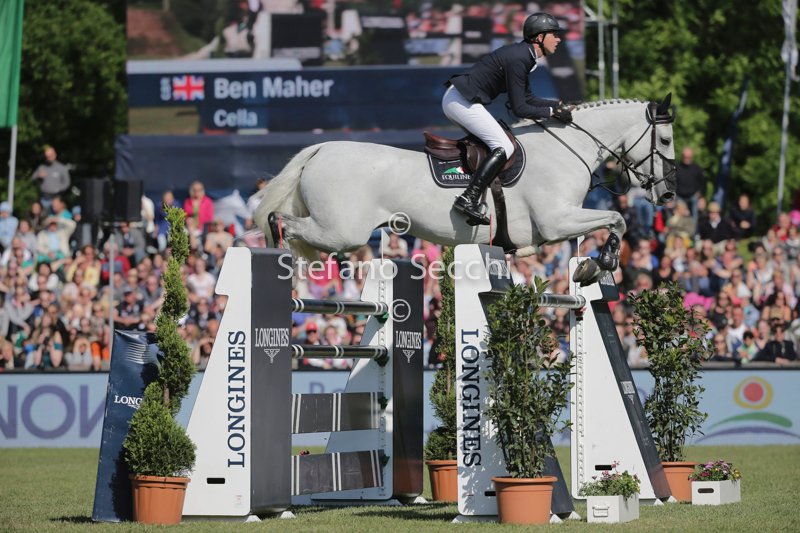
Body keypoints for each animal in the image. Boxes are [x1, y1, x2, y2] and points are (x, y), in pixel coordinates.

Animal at [254, 95, 677, 285]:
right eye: (667, 140)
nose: (669, 195)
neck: (566, 148)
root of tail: (321, 148)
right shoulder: (557, 222)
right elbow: (617, 218)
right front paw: (601, 262)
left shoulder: (561, 223)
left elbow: (613, 220)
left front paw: (592, 264)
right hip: (342, 231)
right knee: (281, 222)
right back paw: (279, 260)